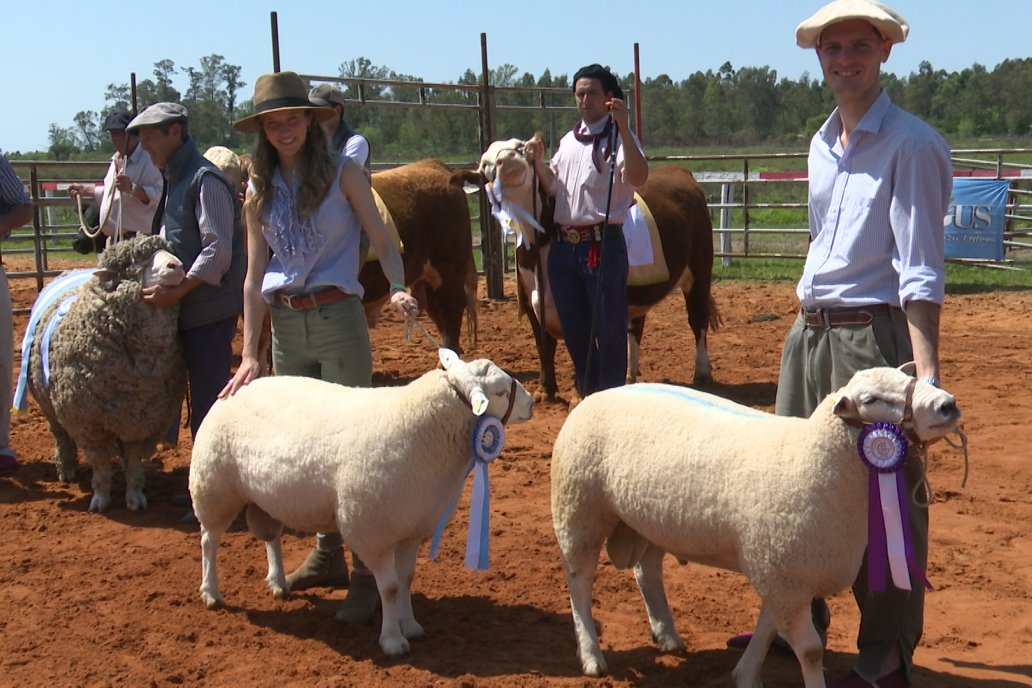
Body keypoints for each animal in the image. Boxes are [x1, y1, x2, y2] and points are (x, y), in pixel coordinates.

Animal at [25, 237, 188, 511]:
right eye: (132, 263)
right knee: (61, 436)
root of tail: (71, 271)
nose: (177, 266)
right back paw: (66, 469)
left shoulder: (144, 420)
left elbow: (134, 463)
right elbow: (100, 466)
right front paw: (100, 499)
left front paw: (135, 497)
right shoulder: (89, 424)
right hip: (48, 404)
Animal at [188, 352, 536, 660]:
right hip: (213, 485)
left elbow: (406, 580)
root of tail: (242, 383)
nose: (532, 403)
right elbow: (391, 588)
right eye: (501, 391)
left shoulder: (411, 528)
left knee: (270, 537)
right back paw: (211, 592)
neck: (424, 428)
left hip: (266, 495)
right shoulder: (371, 532)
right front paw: (393, 641)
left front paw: (410, 626)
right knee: (209, 541)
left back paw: (278, 582)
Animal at [458, 137, 718, 400]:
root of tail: (679, 171)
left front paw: (579, 393)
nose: (507, 159)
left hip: (699, 269)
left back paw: (702, 372)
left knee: (697, 319)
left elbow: (582, 344)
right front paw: (545, 390)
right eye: (485, 163)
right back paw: (629, 376)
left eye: (520, 147)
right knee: (635, 327)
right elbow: (544, 345)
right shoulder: (532, 302)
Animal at [553, 369, 961, 688]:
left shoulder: (778, 570)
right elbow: (810, 651)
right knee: (579, 583)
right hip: (579, 508)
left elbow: (767, 628)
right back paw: (591, 655)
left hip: (650, 517)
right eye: (872, 398)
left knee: (647, 571)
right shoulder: (783, 571)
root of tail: (600, 392)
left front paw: (746, 674)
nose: (947, 404)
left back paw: (667, 634)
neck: (815, 457)